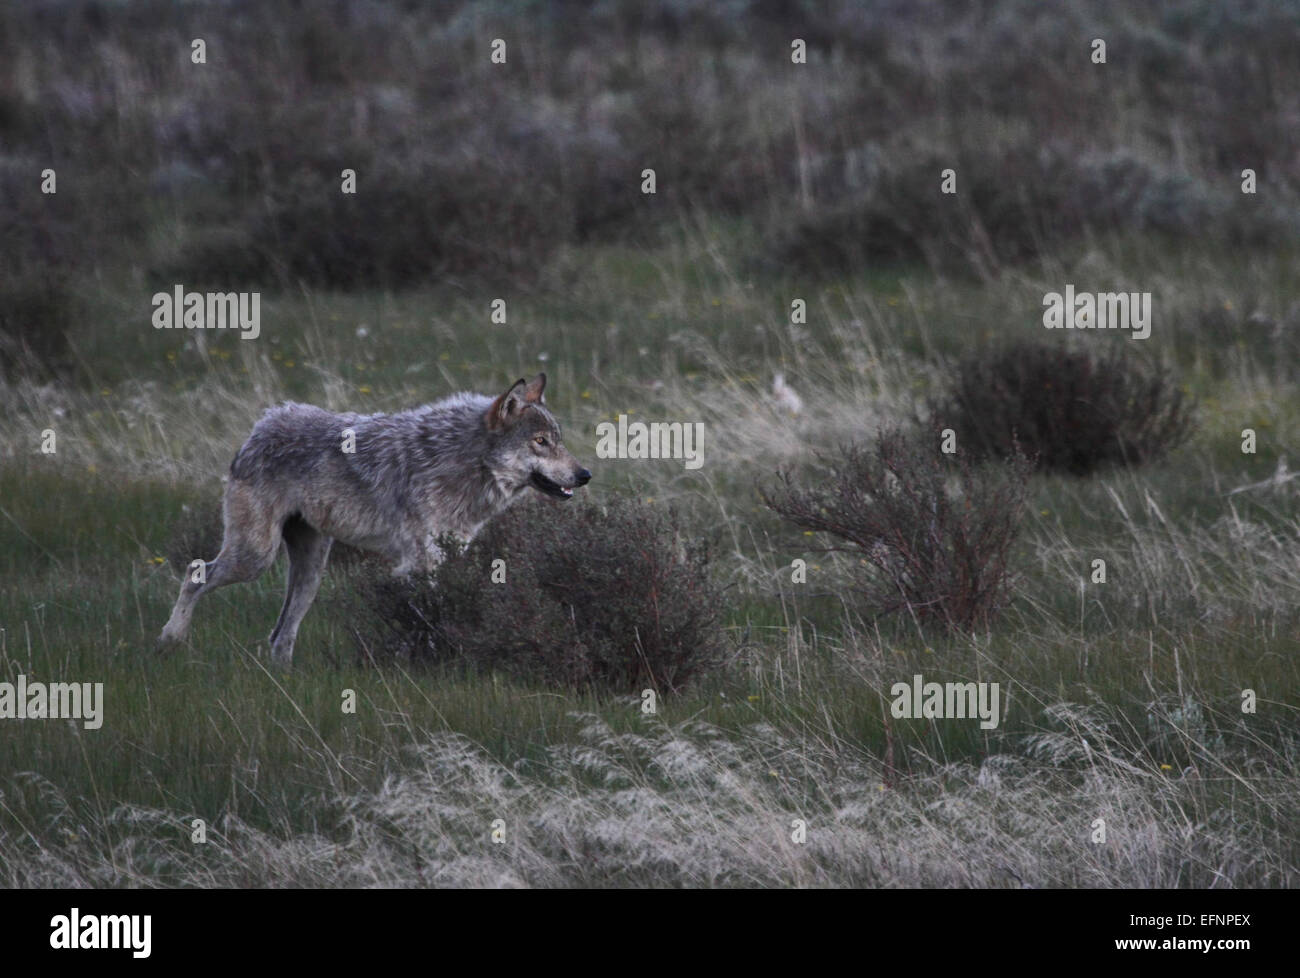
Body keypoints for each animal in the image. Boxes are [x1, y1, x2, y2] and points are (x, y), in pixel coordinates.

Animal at [156, 373, 590, 668]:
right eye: (540, 442)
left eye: (559, 440)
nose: (585, 474)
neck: (465, 462)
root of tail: (263, 423)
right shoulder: (420, 563)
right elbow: (427, 618)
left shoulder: (447, 557)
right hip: (255, 558)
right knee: (194, 573)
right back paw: (170, 639)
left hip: (311, 572)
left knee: (280, 634)